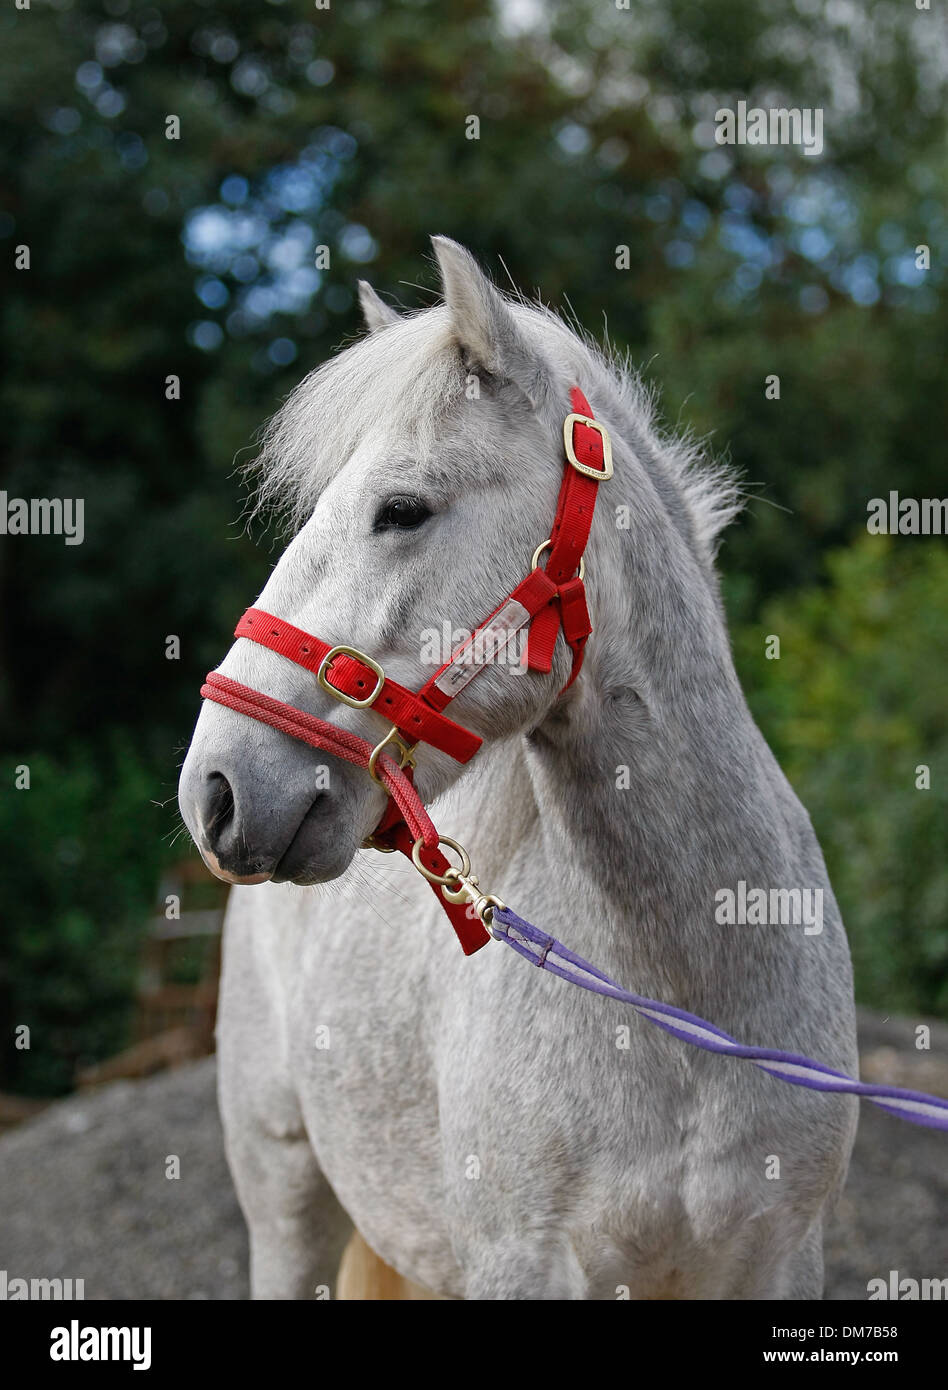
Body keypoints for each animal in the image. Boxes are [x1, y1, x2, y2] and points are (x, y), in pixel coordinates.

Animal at [177, 239, 856, 1301]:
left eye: (402, 509)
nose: (215, 789)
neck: (688, 1003)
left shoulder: (783, 1255)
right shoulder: (522, 1263)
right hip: (285, 1198)